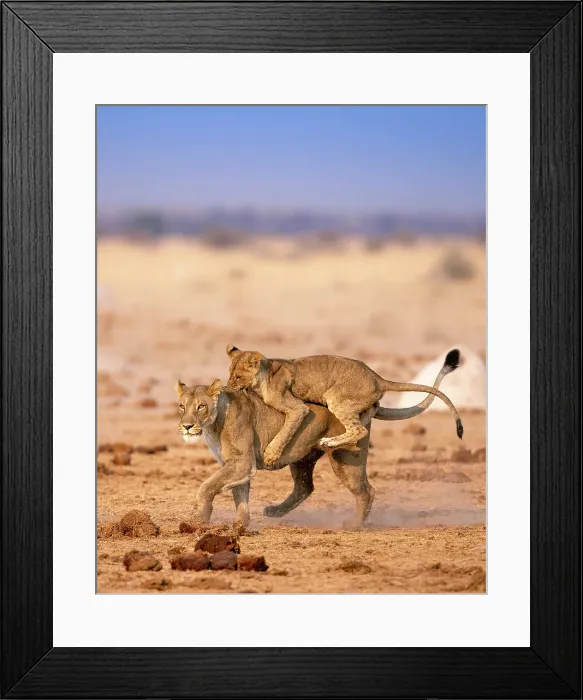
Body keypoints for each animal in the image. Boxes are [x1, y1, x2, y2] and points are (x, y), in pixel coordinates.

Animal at [226, 345, 463, 465]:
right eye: (230, 374)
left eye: (237, 377)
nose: (228, 385)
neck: (264, 375)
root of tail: (378, 378)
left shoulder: (296, 407)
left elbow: (286, 430)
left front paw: (271, 455)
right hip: (361, 406)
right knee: (361, 425)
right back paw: (334, 442)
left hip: (336, 398)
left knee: (358, 430)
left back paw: (329, 442)